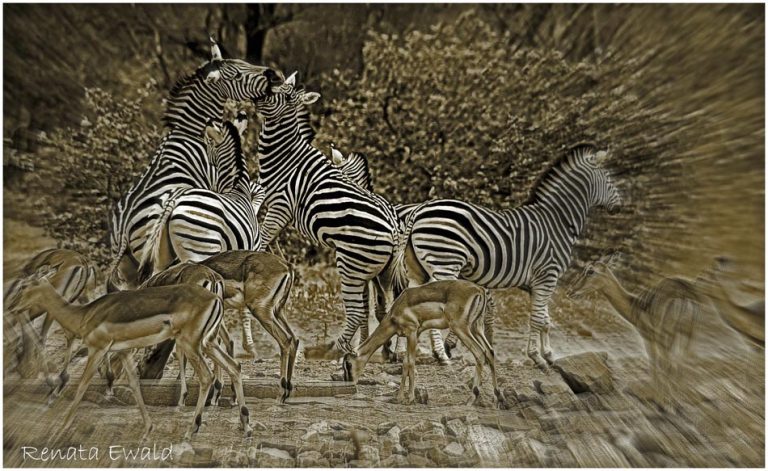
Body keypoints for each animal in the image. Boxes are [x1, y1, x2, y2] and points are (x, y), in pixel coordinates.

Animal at [107, 38, 281, 292]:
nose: (275, 75)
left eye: (244, 62)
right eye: (238, 74)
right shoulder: (213, 179)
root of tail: (123, 229)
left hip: (129, 264)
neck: (189, 132)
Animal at [254, 76, 407, 359]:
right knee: (385, 306)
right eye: (274, 88)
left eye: (287, 97)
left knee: (356, 311)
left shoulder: (282, 205)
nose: (259, 98)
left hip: (352, 265)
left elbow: (263, 236)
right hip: (381, 272)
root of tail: (394, 230)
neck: (285, 156)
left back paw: (335, 350)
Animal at [402, 144, 622, 369]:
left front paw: (549, 354)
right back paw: (441, 355)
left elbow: (545, 320)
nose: (620, 206)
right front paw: (536, 357)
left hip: (419, 269)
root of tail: (419, 210)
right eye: (608, 179)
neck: (557, 221)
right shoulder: (548, 276)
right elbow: (537, 319)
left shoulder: (538, 283)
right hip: (445, 264)